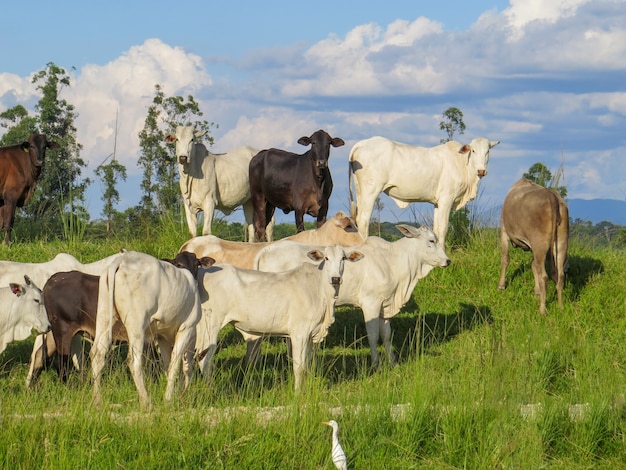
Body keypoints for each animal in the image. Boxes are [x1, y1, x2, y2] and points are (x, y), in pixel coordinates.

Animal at [89, 250, 210, 408]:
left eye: (197, 263)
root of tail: (122, 260)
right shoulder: (187, 328)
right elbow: (176, 364)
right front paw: (169, 399)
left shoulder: (161, 336)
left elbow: (168, 364)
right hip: (136, 325)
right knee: (133, 361)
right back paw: (146, 401)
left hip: (104, 316)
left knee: (97, 354)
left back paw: (97, 400)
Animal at [194, 244, 360, 392]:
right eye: (326, 258)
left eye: (343, 258)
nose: (335, 279)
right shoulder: (299, 334)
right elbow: (299, 367)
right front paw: (298, 393)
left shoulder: (310, 335)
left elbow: (307, 365)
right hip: (211, 325)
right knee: (204, 359)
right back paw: (211, 390)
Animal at [254, 224, 448, 368]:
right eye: (431, 240)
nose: (447, 261)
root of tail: (266, 250)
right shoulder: (371, 304)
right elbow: (373, 335)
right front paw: (376, 366)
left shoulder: (384, 306)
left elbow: (386, 335)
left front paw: (393, 363)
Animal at [494, 179, 568, 316]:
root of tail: (551, 195)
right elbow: (533, 266)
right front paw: (536, 292)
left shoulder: (504, 232)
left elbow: (505, 259)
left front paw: (501, 286)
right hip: (561, 243)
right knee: (559, 275)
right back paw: (560, 307)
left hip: (540, 243)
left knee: (544, 276)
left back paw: (542, 310)